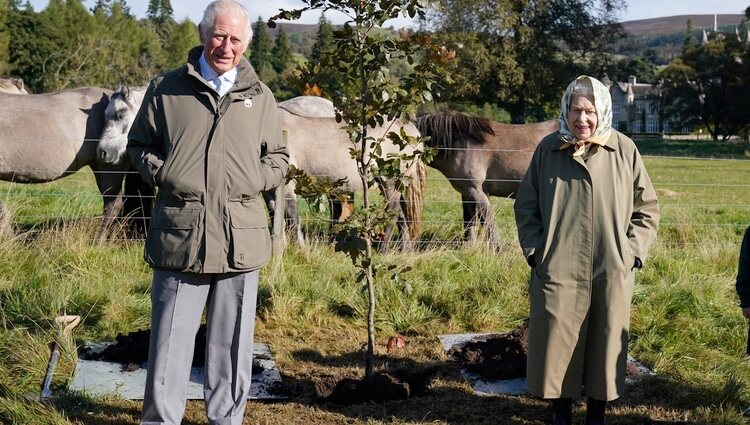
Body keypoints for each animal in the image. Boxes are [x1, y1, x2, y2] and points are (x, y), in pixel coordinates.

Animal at [418, 111, 560, 250]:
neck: (461, 144)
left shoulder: (476, 191)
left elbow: (487, 221)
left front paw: (496, 249)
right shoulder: (467, 193)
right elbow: (470, 221)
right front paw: (469, 248)